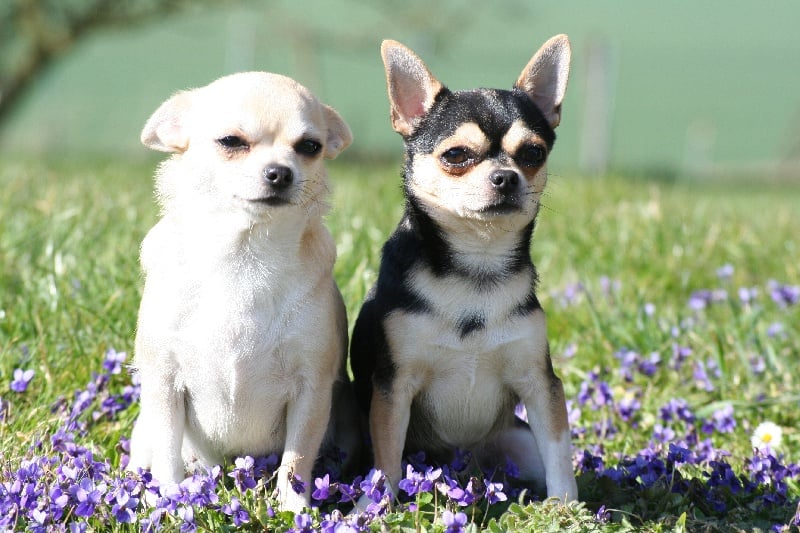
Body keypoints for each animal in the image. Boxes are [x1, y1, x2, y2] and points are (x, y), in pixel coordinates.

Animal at [128, 71, 360, 512]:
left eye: (310, 147)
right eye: (231, 142)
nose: (280, 172)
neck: (244, 255)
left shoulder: (312, 389)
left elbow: (296, 460)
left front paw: (294, 509)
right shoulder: (163, 381)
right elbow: (167, 451)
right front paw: (169, 500)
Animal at [350, 35, 576, 500]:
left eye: (533, 153)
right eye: (456, 155)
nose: (506, 177)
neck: (477, 269)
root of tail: (467, 464)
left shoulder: (541, 385)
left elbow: (560, 453)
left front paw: (566, 506)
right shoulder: (393, 388)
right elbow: (387, 461)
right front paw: (374, 505)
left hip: (515, 440)